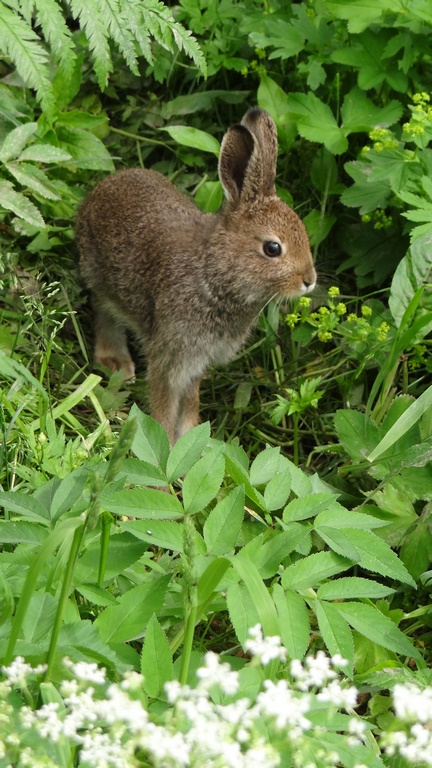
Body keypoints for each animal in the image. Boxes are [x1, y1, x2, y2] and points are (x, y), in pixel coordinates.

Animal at [76, 107, 316, 445]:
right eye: (272, 248)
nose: (309, 279)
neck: (213, 273)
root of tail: (102, 188)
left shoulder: (198, 361)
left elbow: (190, 402)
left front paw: (192, 441)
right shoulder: (171, 354)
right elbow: (164, 405)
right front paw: (164, 447)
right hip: (100, 276)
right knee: (103, 310)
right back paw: (115, 362)